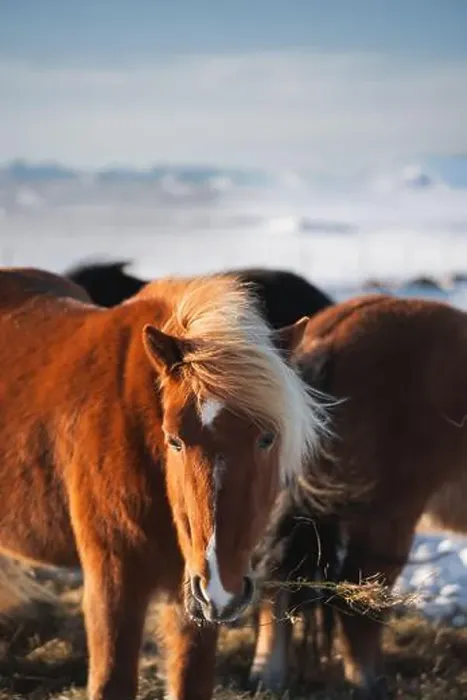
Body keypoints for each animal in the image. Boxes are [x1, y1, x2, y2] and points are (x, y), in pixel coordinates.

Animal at [0, 267, 328, 700]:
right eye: (174, 439)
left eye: (267, 438)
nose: (222, 589)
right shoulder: (114, 585)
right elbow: (111, 681)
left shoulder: (192, 599)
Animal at [253, 293, 467, 699]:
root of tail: (330, 335)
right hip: (387, 517)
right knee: (356, 603)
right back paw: (370, 684)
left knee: (279, 575)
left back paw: (266, 676)